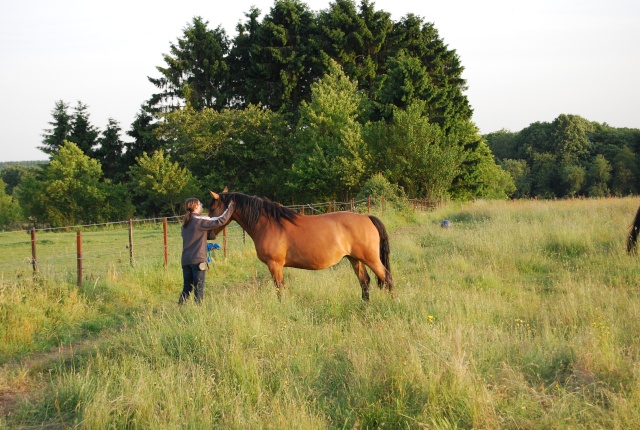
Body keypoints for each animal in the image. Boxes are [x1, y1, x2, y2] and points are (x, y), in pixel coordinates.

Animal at [208, 190, 392, 300]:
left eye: (212, 209)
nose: (209, 234)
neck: (269, 224)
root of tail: (367, 218)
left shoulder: (275, 265)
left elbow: (280, 290)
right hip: (355, 259)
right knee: (365, 282)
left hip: (371, 259)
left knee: (387, 278)